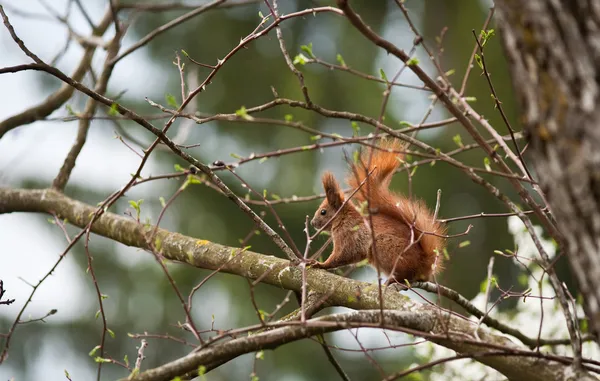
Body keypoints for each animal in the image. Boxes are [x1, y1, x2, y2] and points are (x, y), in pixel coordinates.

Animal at [310, 138, 446, 280]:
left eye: (323, 212)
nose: (312, 223)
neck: (343, 216)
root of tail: (423, 265)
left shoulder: (347, 235)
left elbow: (341, 255)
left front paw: (320, 264)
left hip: (384, 247)